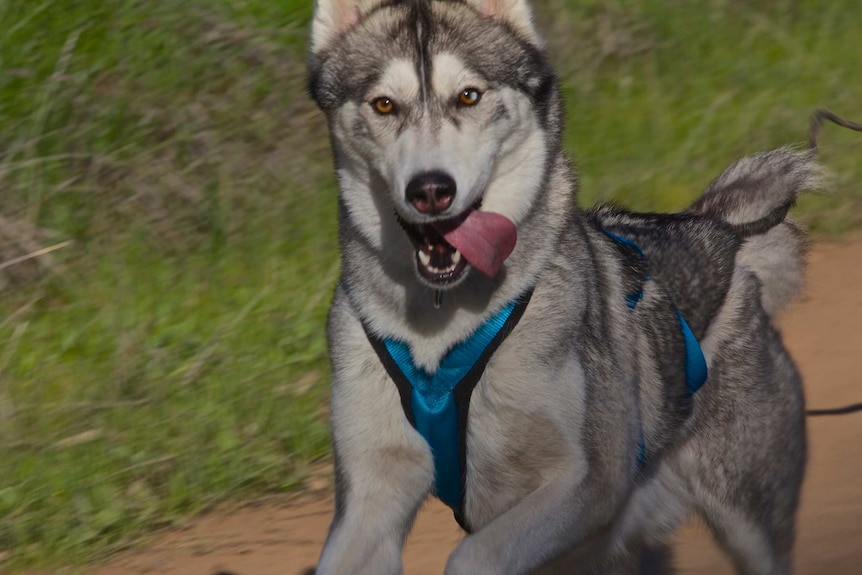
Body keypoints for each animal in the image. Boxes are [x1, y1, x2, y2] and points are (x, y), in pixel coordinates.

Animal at [308, 2, 816, 572]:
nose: (431, 189)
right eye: (384, 104)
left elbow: (472, 555)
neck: (440, 332)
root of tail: (720, 229)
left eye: (468, 95)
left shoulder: (589, 482)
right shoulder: (371, 498)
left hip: (744, 519)